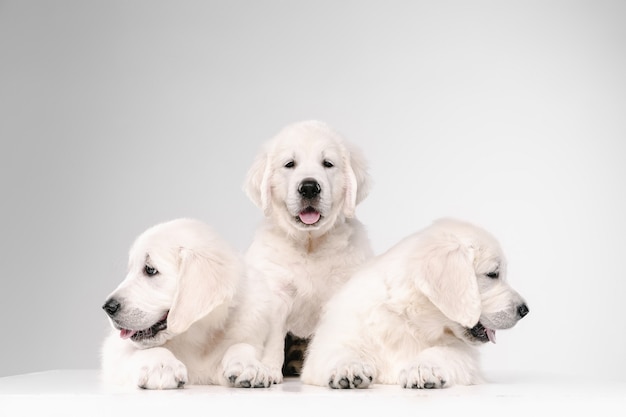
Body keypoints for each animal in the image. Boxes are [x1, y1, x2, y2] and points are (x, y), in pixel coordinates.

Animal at [101, 218, 274, 386]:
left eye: (150, 270)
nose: (107, 307)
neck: (194, 337)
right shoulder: (114, 350)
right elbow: (145, 350)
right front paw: (163, 365)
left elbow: (242, 345)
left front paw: (249, 365)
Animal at [222, 119, 372, 384]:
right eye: (289, 164)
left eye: (328, 163)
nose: (309, 187)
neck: (310, 245)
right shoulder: (275, 290)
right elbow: (271, 338)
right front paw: (264, 370)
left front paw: (345, 366)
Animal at [300, 219, 528, 388]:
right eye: (493, 274)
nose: (525, 310)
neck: (408, 320)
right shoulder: (333, 341)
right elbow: (337, 351)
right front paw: (347, 367)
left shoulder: (465, 356)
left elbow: (443, 351)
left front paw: (422, 368)